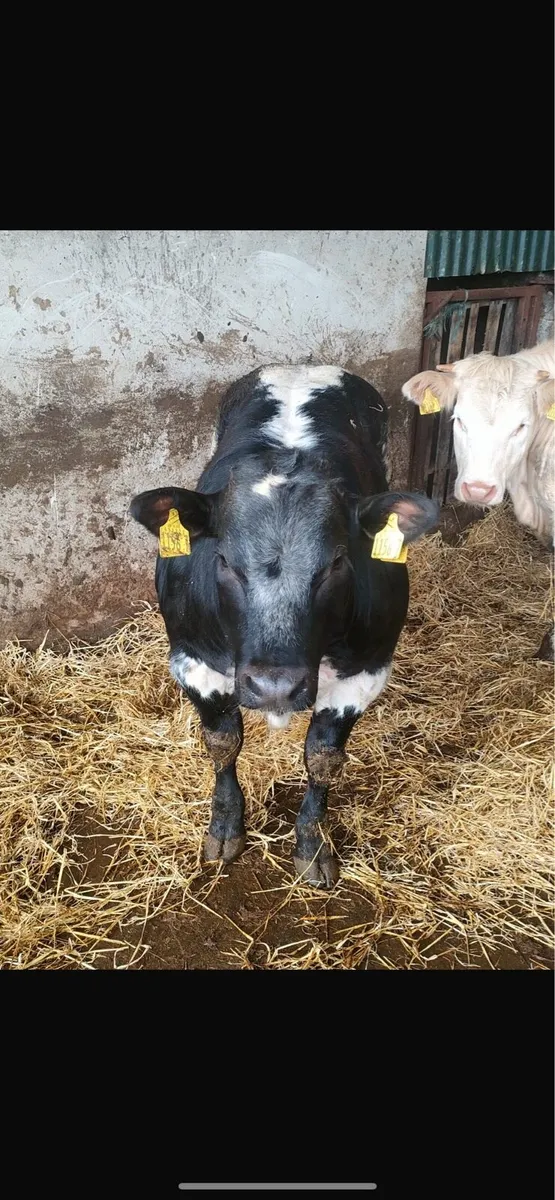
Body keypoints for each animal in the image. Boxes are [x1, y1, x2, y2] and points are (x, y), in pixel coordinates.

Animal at [131, 366, 439, 888]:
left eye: (337, 562)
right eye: (224, 560)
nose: (275, 685)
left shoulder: (365, 670)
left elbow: (322, 758)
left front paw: (313, 845)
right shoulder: (193, 660)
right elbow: (223, 743)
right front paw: (226, 827)